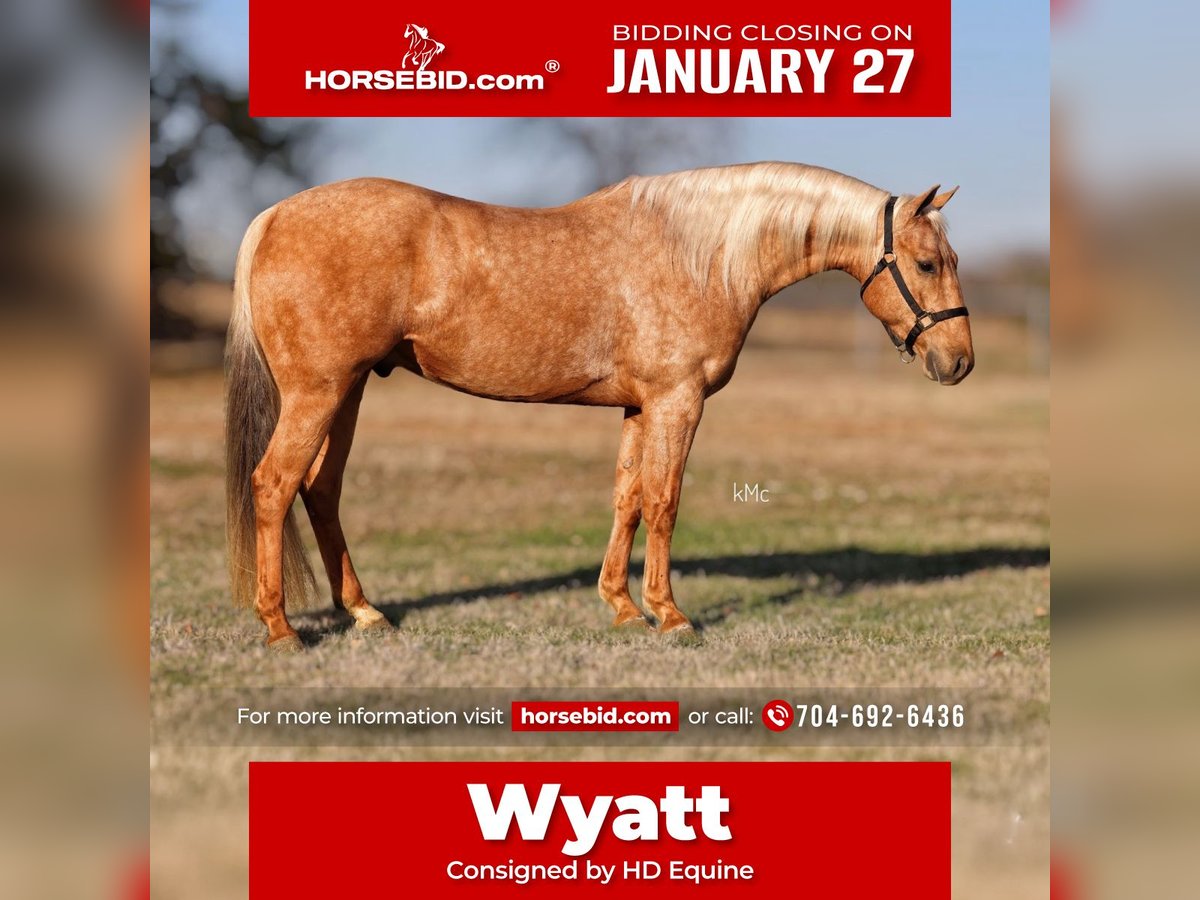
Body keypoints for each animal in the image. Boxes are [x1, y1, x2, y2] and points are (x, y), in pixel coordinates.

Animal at [226, 165, 974, 652]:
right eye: (928, 263)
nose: (959, 362)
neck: (699, 252)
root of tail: (272, 217)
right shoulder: (677, 401)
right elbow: (665, 501)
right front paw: (671, 617)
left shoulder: (640, 408)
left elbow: (629, 499)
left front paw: (622, 608)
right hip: (320, 391)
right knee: (274, 484)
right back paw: (281, 629)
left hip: (348, 390)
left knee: (320, 490)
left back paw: (365, 614)